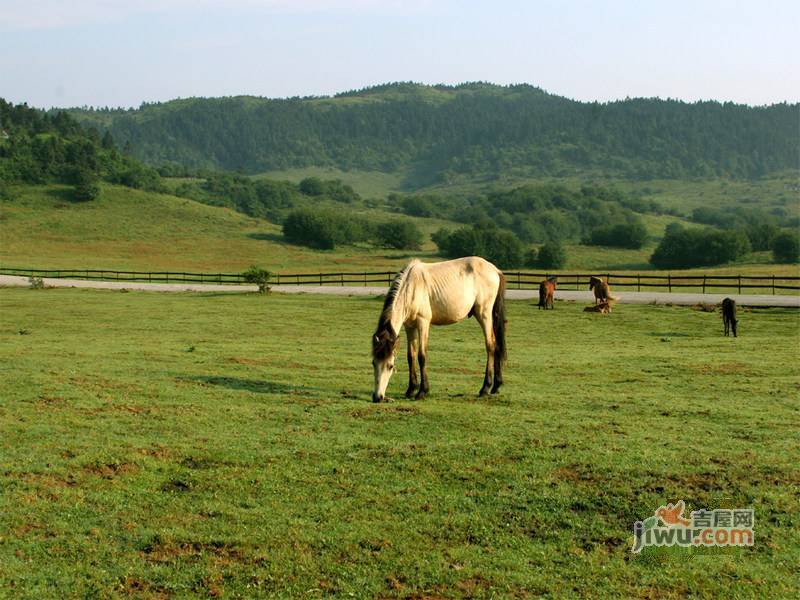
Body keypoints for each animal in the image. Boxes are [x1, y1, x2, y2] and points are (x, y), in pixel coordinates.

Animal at [374, 256, 510, 404]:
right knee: (497, 345)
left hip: (484, 314)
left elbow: (422, 356)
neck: (411, 286)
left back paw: (485, 388)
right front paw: (411, 390)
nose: (377, 397)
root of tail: (495, 270)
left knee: (490, 344)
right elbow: (411, 356)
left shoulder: (423, 323)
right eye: (374, 363)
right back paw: (496, 386)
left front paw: (422, 391)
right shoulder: (409, 327)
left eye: (390, 366)